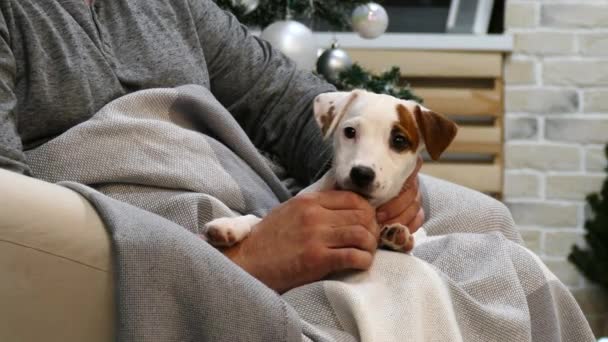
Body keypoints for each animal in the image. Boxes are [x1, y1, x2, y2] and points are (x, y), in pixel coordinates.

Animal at [203, 89, 456, 252]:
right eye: (350, 132)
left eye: (399, 141)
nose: (362, 173)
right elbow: (260, 219)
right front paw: (231, 225)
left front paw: (399, 235)